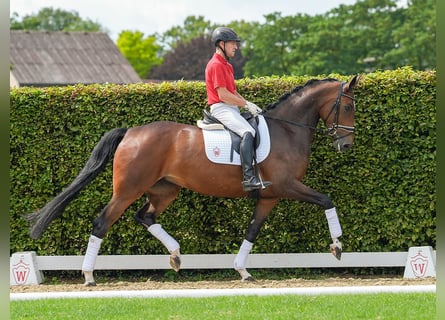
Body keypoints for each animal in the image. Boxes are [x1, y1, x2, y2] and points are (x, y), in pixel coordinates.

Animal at [25, 75, 360, 284]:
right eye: (347, 106)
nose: (346, 146)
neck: (286, 130)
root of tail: (131, 132)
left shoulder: (269, 197)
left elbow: (252, 231)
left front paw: (242, 271)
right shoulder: (287, 186)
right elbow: (326, 200)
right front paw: (337, 246)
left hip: (164, 190)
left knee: (144, 216)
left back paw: (175, 255)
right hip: (128, 190)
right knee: (102, 223)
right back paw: (89, 276)